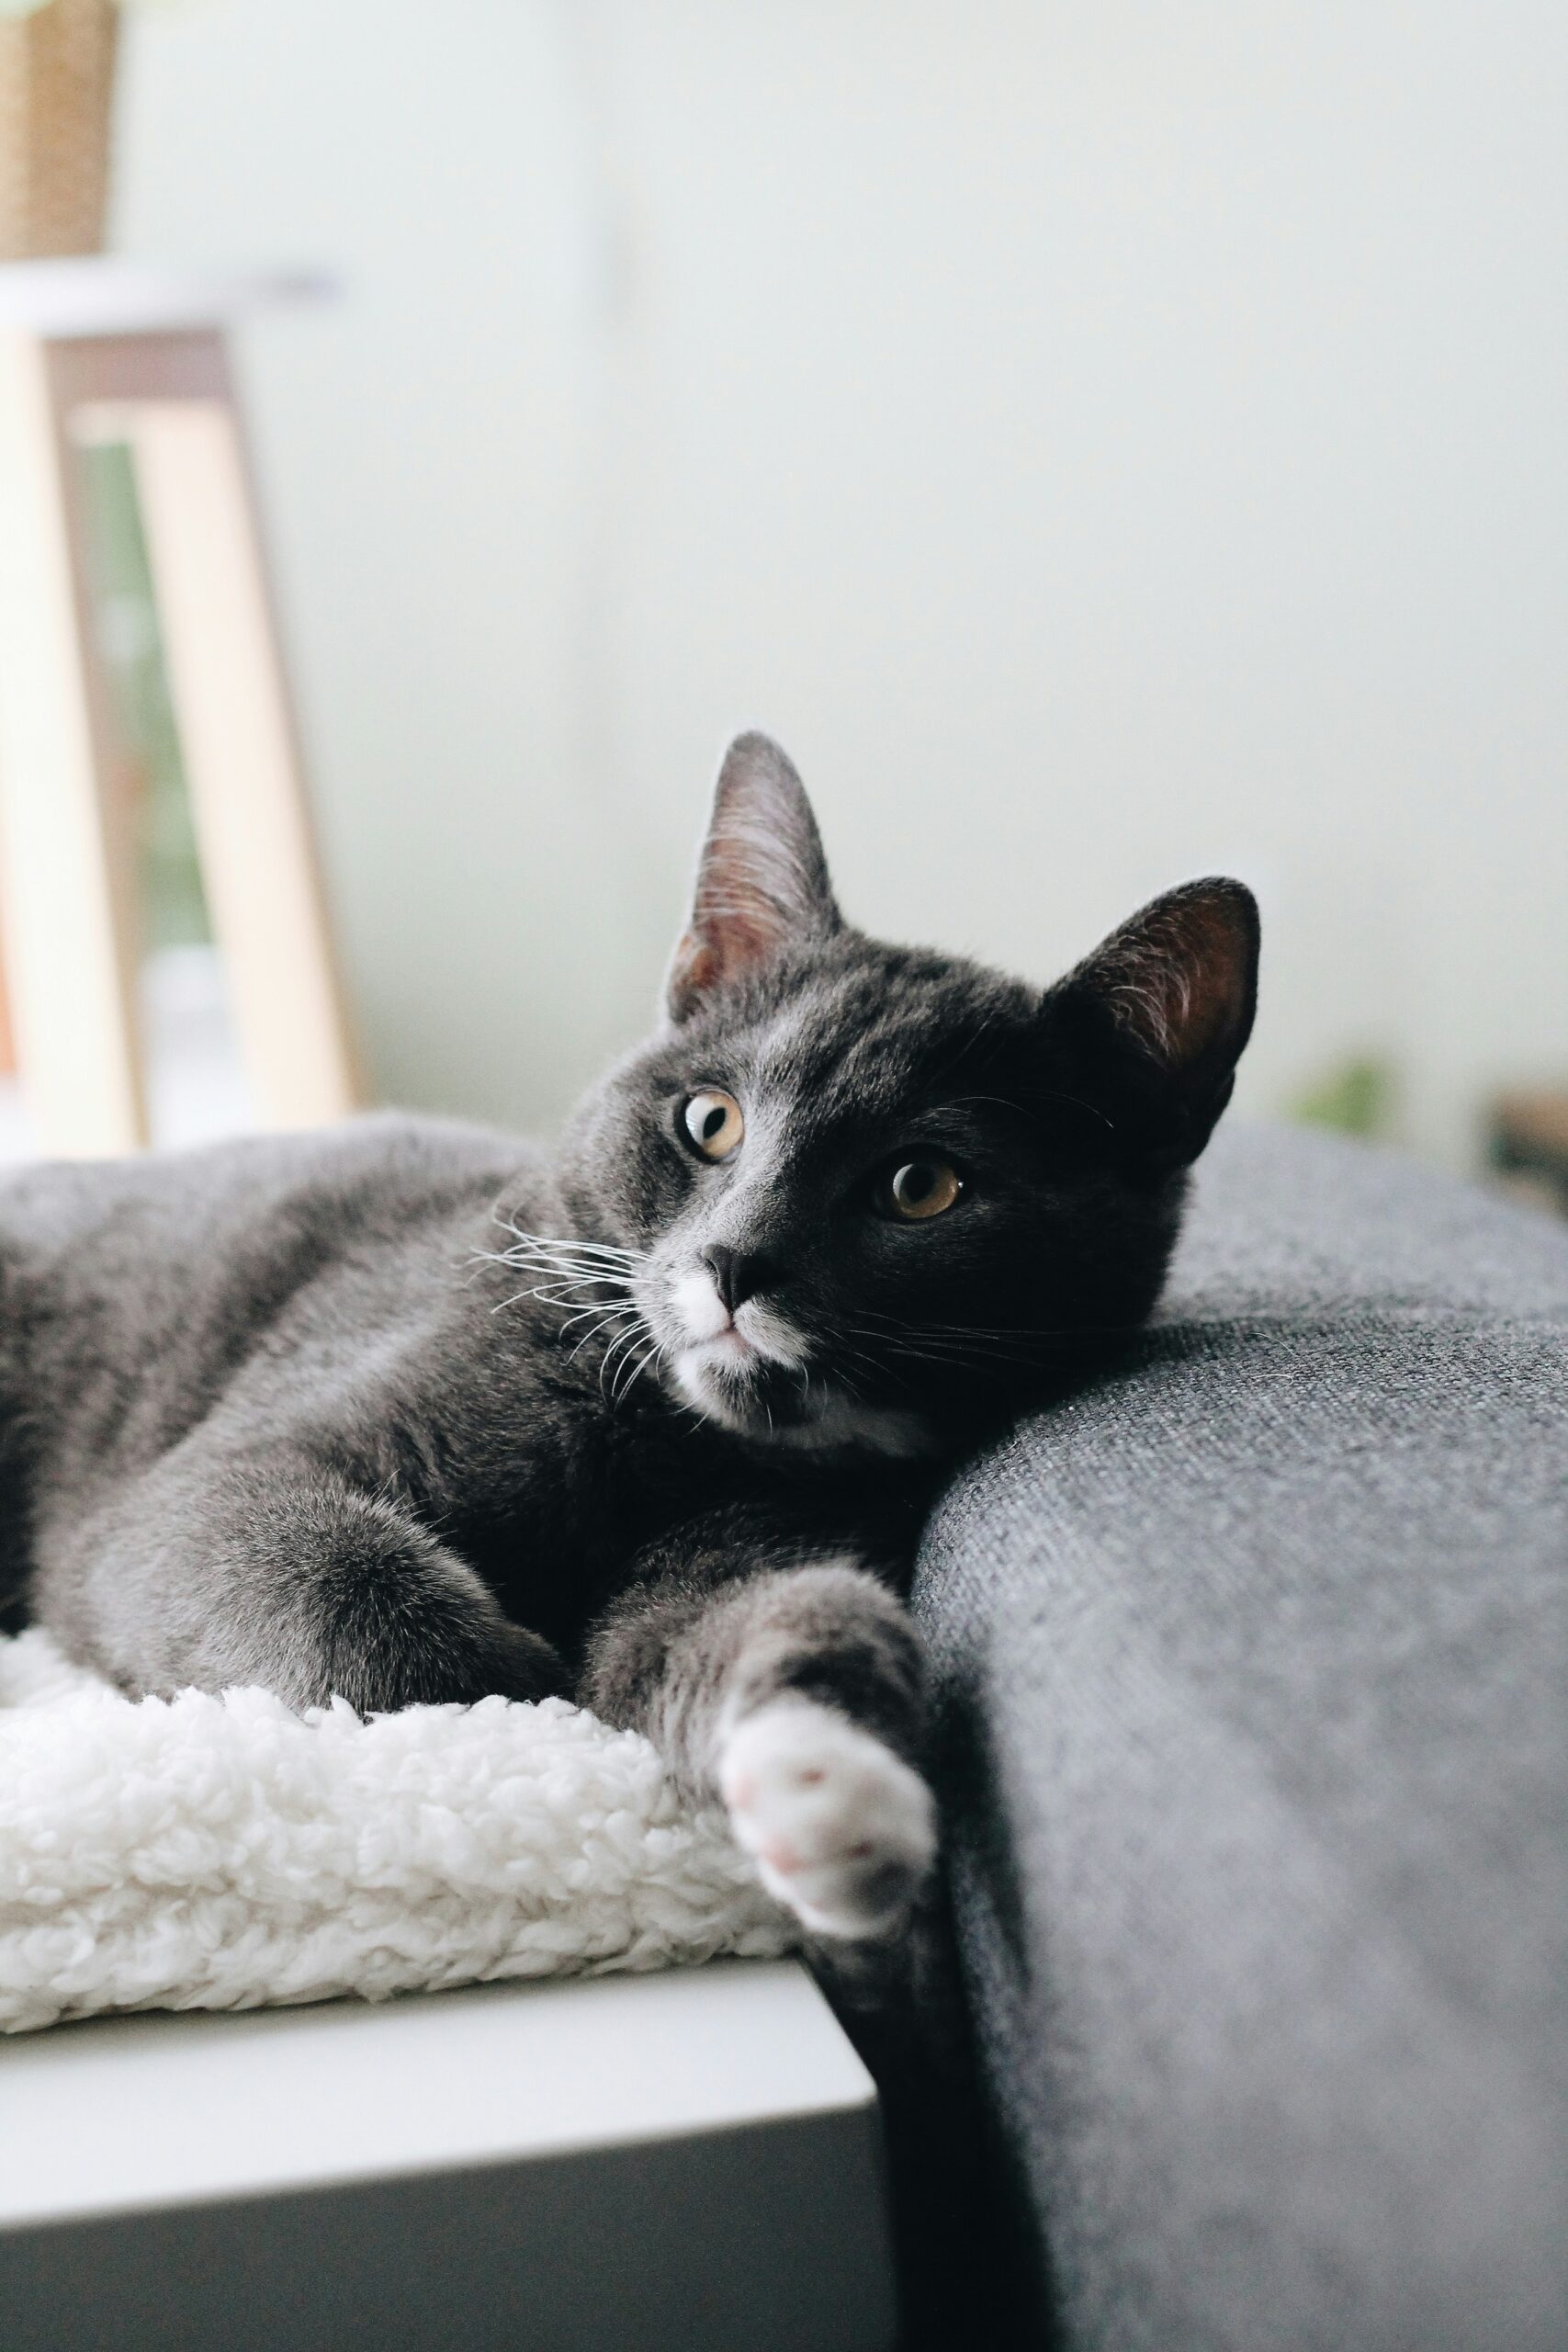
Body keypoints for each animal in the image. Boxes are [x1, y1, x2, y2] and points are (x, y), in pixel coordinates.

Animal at [0, 742, 1259, 1938]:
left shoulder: (773, 1529)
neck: (679, 1443)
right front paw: (500, 1693)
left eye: (924, 1186)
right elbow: (286, 1553)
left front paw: (834, 1790)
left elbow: (747, 1624)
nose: (737, 1262)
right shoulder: (230, 1464)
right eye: (711, 1120)